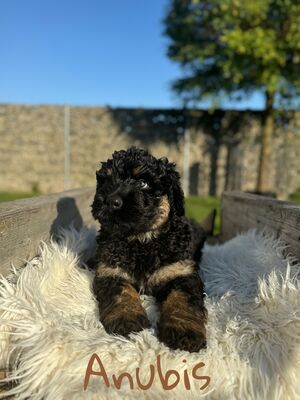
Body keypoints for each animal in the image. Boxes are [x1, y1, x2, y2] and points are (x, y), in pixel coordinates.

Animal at [92, 148, 209, 354]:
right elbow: (121, 292)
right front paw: (127, 318)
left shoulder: (180, 272)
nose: (110, 200)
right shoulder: (111, 271)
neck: (141, 241)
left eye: (143, 183)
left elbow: (183, 299)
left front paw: (185, 331)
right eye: (106, 181)